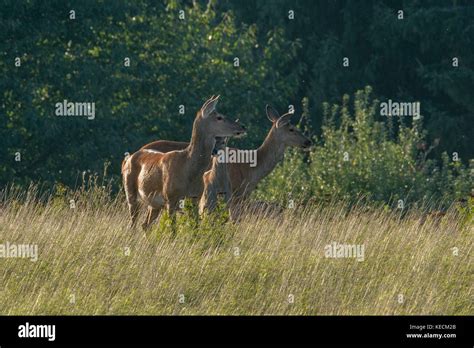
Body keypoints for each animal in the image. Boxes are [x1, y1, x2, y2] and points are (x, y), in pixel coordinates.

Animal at [120, 96, 246, 230]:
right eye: (219, 117)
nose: (242, 126)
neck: (188, 169)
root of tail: (127, 159)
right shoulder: (170, 198)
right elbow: (173, 230)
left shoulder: (195, 198)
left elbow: (195, 227)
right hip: (130, 192)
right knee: (132, 225)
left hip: (154, 203)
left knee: (145, 225)